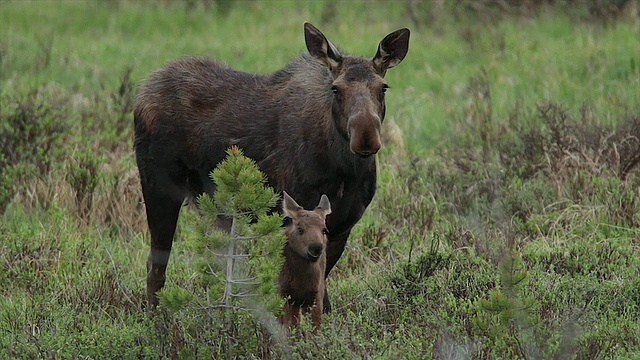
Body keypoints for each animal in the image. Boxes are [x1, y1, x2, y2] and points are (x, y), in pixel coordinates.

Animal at [134, 21, 410, 310]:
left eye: (383, 87)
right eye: (336, 88)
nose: (366, 136)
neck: (344, 172)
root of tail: (143, 90)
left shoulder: (341, 228)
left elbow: (321, 292)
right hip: (159, 188)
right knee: (156, 266)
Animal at [278, 191, 330, 334]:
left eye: (324, 230)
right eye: (300, 229)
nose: (316, 248)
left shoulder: (315, 297)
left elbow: (315, 330)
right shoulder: (282, 293)